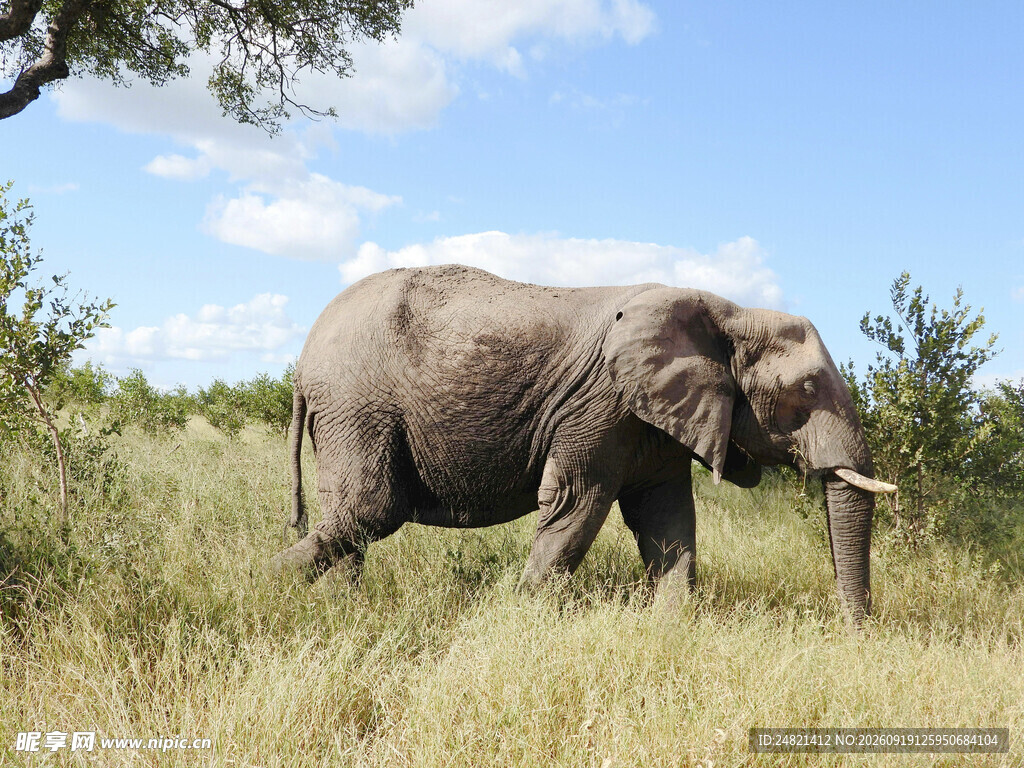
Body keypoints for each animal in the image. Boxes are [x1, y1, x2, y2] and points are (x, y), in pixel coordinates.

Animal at [272, 264, 895, 625]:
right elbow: (577, 503)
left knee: (354, 515)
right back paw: (264, 580)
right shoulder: (602, 406)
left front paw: (670, 629)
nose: (854, 635)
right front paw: (521, 617)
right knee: (372, 507)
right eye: (806, 390)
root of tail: (303, 360)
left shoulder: (655, 421)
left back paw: (343, 606)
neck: (729, 311)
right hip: (357, 403)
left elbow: (667, 518)